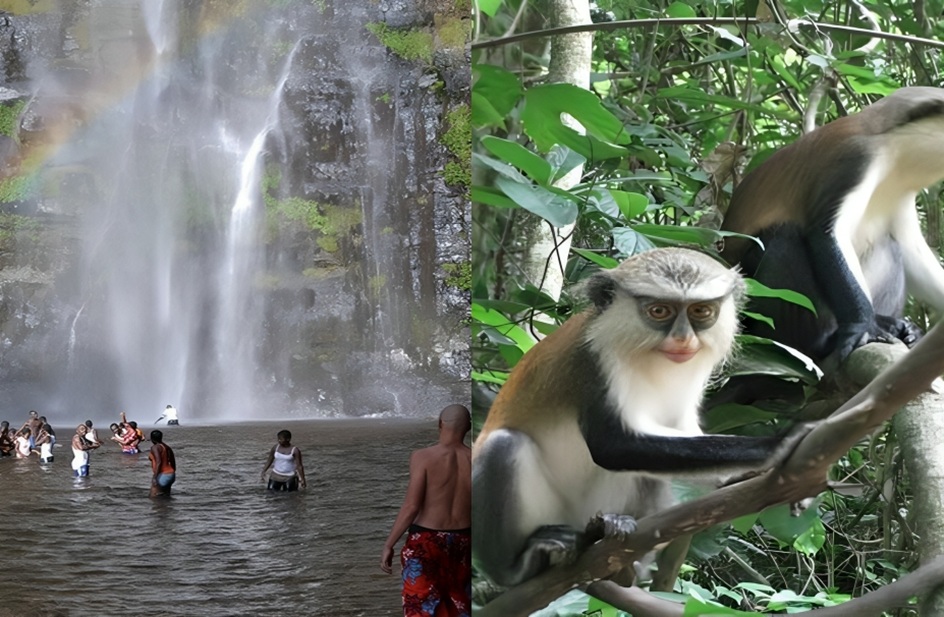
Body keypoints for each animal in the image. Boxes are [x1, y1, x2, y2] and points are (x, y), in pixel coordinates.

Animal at [472, 247, 796, 589]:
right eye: (659, 311)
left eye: (701, 311)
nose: (684, 339)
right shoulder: (591, 361)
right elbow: (611, 446)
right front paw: (778, 444)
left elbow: (677, 431)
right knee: (503, 445)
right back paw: (519, 567)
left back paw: (618, 549)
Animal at [720, 86, 944, 368]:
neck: (895, 155)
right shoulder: (855, 161)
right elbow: (825, 233)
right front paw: (865, 326)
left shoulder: (901, 197)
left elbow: (911, 252)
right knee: (783, 236)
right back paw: (820, 341)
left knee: (890, 245)